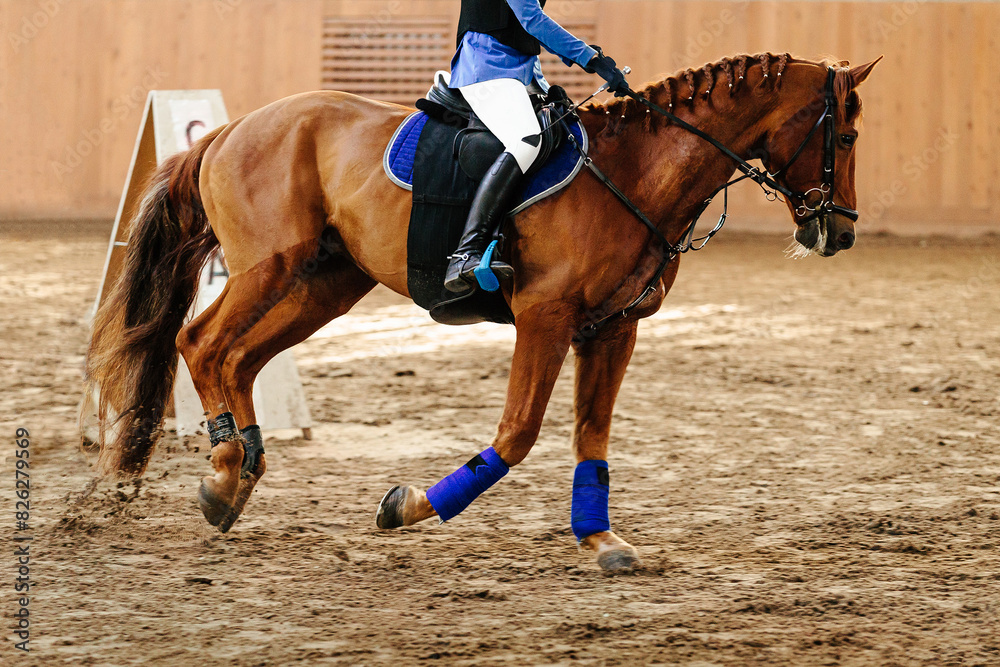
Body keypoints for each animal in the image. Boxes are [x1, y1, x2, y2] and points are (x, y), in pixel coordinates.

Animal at [84, 52, 879, 572]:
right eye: (844, 136)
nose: (838, 233)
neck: (634, 173)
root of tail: (230, 129)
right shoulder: (546, 318)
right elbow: (519, 434)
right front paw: (405, 506)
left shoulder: (615, 327)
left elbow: (592, 436)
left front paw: (603, 542)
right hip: (267, 269)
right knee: (201, 342)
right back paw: (224, 471)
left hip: (323, 286)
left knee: (238, 358)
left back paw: (237, 475)